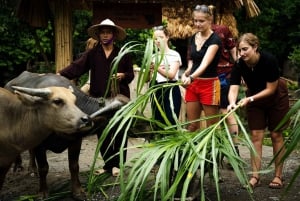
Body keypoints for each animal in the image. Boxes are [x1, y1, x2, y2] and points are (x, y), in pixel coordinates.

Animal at [4, 71, 129, 199]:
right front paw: (43, 192)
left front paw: (77, 191)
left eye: (75, 102)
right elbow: (43, 168)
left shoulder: (76, 140)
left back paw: (33, 169)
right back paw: (19, 166)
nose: (86, 120)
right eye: (124, 113)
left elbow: (74, 166)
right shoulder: (40, 144)